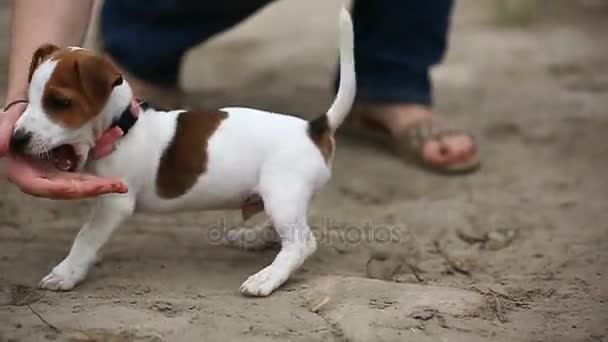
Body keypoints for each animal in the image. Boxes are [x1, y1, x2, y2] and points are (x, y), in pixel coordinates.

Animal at [10, 8, 356, 296]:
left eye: (60, 102)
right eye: (30, 98)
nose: (15, 140)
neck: (122, 126)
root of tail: (314, 127)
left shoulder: (114, 204)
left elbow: (85, 237)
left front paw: (67, 272)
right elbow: (92, 237)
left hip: (281, 191)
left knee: (301, 243)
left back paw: (266, 278)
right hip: (283, 197)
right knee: (289, 229)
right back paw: (255, 238)